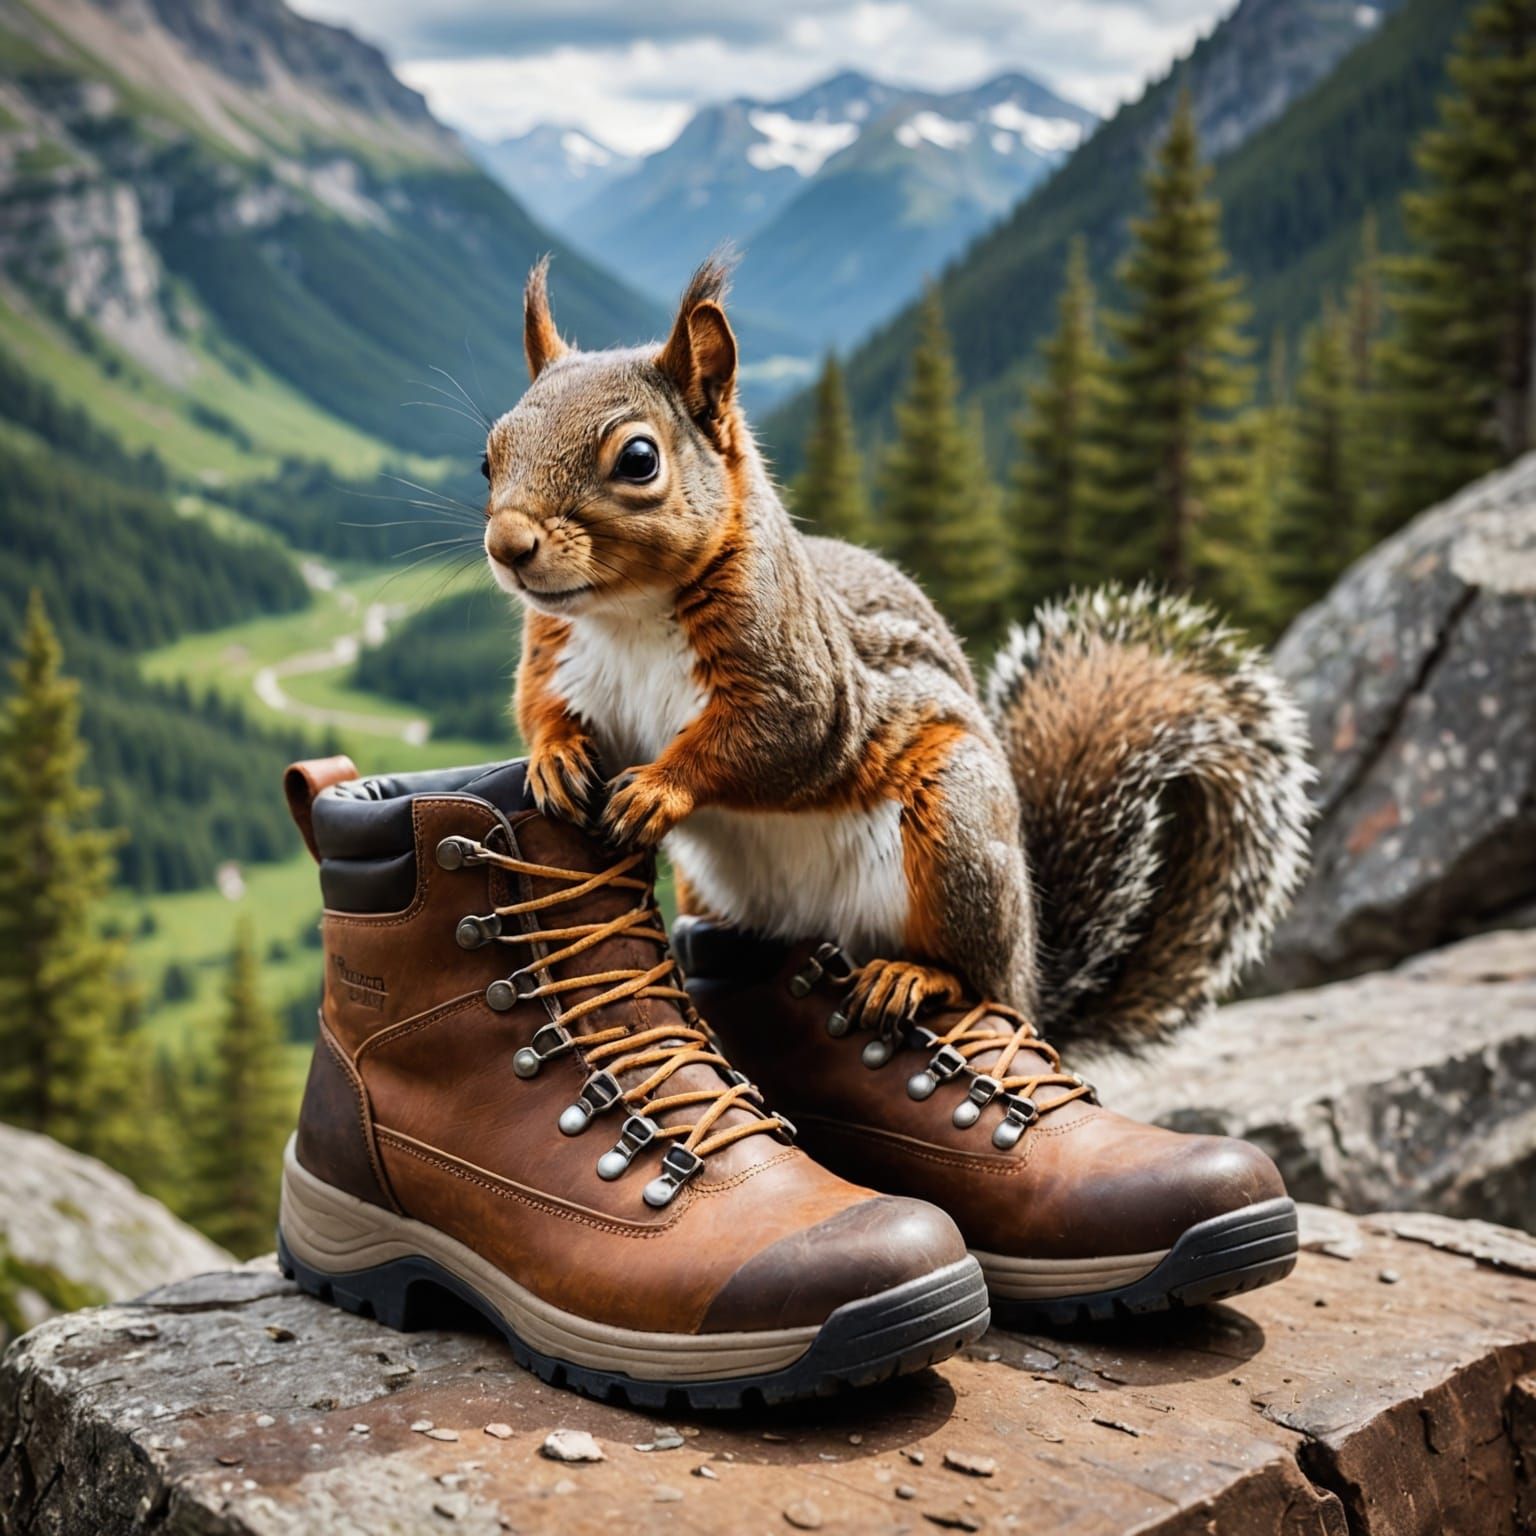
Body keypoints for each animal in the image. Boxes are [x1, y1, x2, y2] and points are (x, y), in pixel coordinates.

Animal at [480, 256, 1312, 1051]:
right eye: (489, 457)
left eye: (639, 459)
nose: (507, 546)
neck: (626, 614)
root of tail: (1033, 972)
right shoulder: (556, 658)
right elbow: (538, 709)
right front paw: (556, 759)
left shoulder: (799, 681)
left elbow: (765, 741)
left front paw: (658, 789)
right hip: (718, 891)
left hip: (955, 827)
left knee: (977, 980)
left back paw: (914, 978)